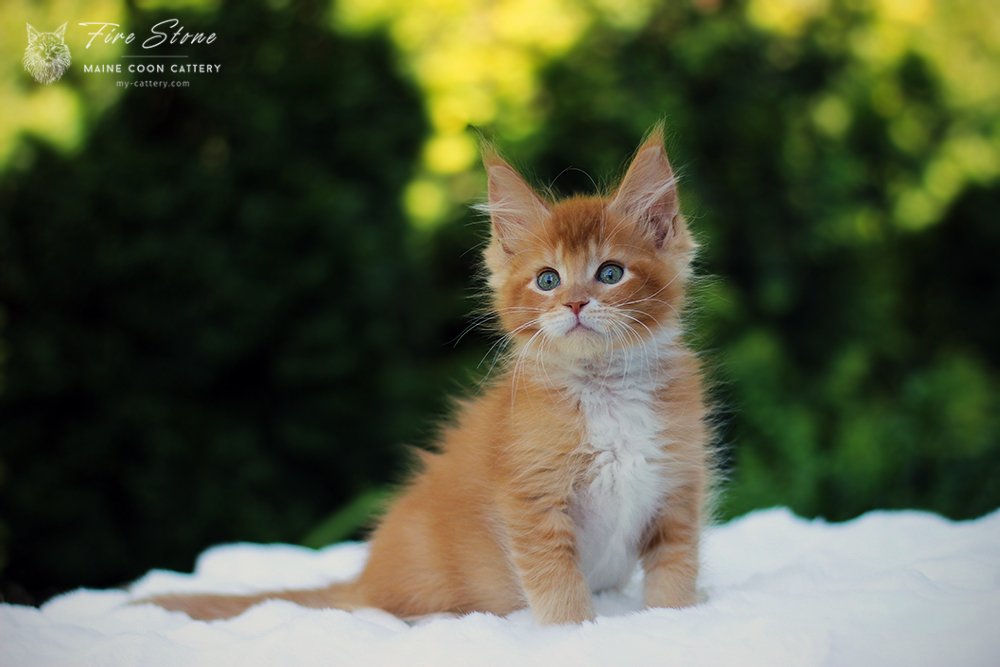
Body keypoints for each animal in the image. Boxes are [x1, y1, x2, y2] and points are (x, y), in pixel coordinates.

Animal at [139, 125, 714, 626]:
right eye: (548, 280)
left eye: (610, 273)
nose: (574, 303)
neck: (605, 387)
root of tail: (363, 579)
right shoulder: (531, 502)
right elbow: (556, 585)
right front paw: (575, 633)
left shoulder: (678, 491)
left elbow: (675, 573)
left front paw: (673, 619)